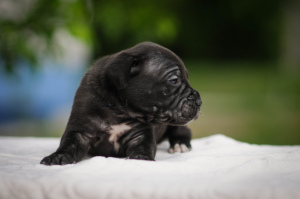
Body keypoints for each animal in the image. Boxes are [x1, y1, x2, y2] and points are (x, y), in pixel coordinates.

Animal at [39, 41, 202, 165]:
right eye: (174, 80)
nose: (200, 101)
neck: (117, 109)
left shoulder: (140, 134)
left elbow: (144, 146)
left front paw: (141, 158)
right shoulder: (80, 130)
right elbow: (69, 144)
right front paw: (59, 156)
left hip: (175, 127)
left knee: (182, 131)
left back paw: (180, 144)